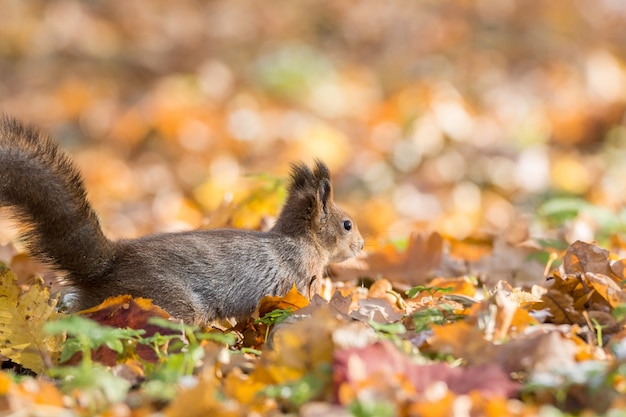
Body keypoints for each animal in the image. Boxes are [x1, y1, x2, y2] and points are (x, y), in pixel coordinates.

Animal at [0, 115, 364, 324]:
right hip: (165, 299)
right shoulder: (298, 283)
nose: (362, 245)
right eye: (347, 224)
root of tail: (108, 265)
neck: (302, 242)